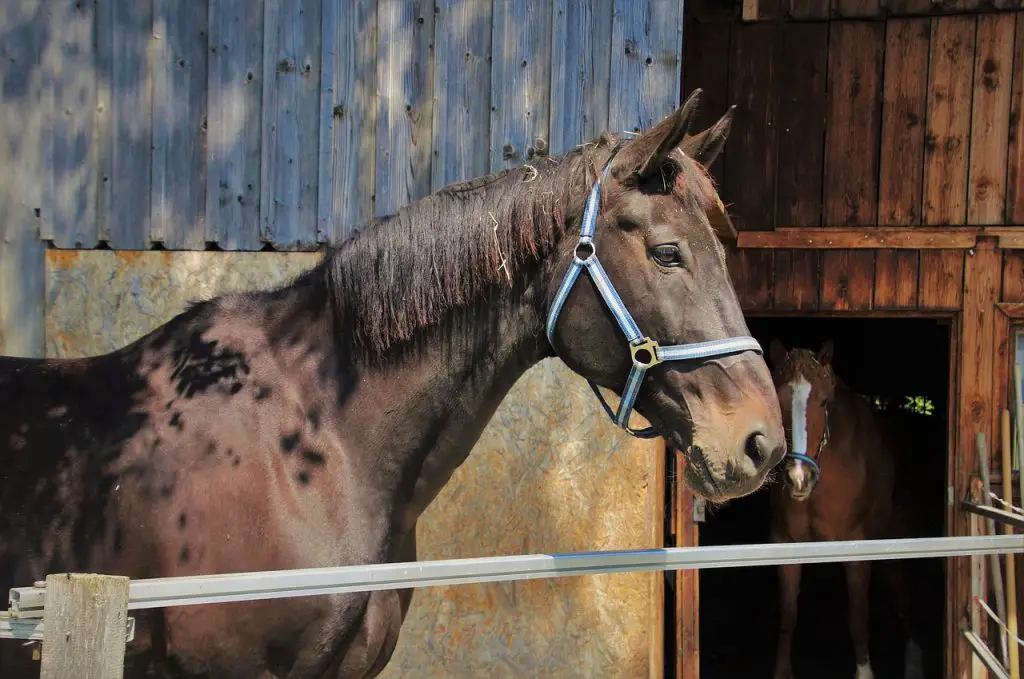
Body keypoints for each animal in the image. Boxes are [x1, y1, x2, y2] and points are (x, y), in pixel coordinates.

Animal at [770, 340, 929, 679]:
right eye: (779, 401)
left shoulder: (857, 549)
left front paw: (865, 672)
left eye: (823, 401)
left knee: (906, 600)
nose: (798, 477)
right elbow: (788, 616)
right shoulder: (784, 544)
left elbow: (858, 618)